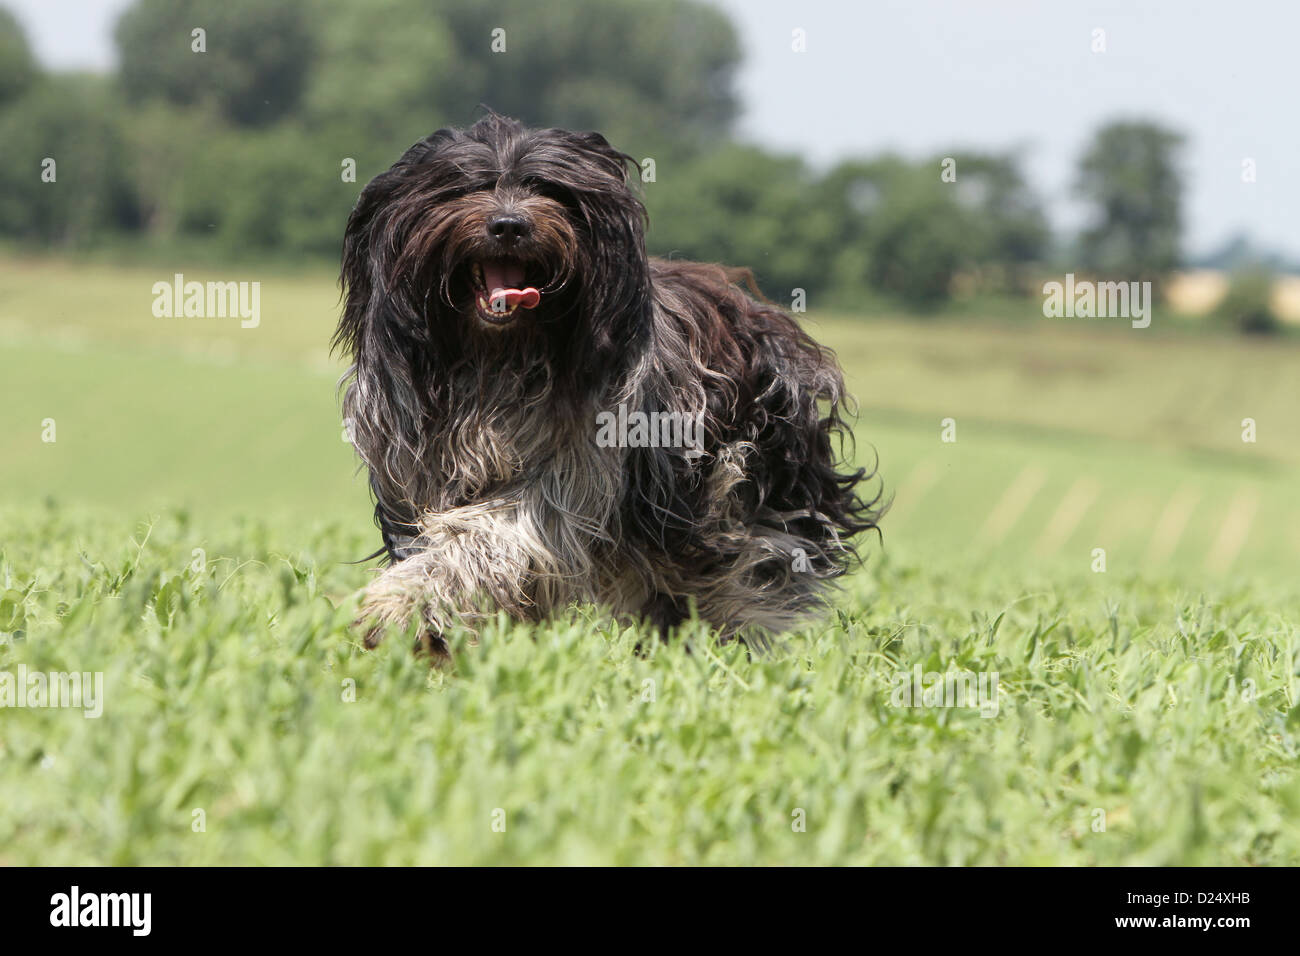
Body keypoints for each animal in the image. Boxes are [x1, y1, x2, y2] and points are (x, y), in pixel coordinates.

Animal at [335, 111, 883, 660]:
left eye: (549, 189)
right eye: (469, 185)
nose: (509, 225)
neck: (495, 360)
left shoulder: (575, 469)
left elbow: (500, 532)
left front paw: (402, 604)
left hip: (742, 489)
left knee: (739, 576)